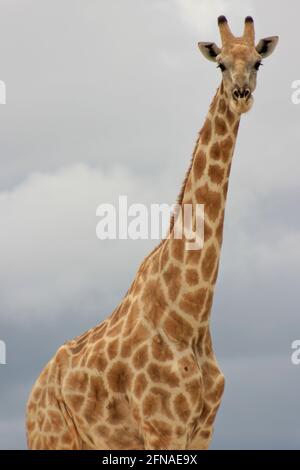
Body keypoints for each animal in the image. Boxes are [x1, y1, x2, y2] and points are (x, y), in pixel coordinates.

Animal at [25, 16, 278, 450]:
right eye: (220, 65)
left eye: (257, 62)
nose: (241, 95)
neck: (189, 316)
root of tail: (30, 399)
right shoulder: (162, 427)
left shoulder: (202, 432)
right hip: (51, 439)